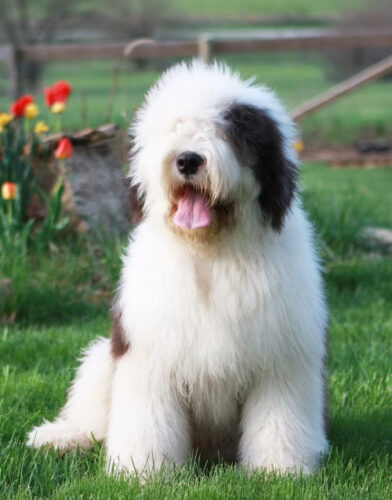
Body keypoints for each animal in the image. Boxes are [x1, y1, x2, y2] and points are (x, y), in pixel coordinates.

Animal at [26, 61, 328, 476]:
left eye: (231, 130)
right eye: (175, 127)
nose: (187, 160)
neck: (209, 253)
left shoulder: (281, 357)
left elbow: (278, 419)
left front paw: (279, 470)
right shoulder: (149, 352)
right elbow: (148, 419)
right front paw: (143, 472)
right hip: (104, 359)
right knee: (90, 413)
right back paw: (60, 438)